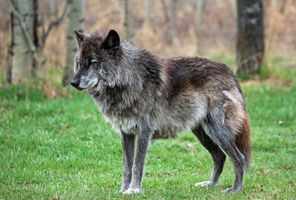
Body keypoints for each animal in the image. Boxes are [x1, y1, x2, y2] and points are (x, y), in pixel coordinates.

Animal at [70, 29, 251, 194]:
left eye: (93, 62)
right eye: (79, 63)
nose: (73, 82)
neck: (129, 79)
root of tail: (229, 71)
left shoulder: (144, 131)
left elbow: (137, 164)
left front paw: (134, 190)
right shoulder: (126, 133)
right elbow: (127, 166)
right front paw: (122, 191)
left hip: (217, 131)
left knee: (239, 158)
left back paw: (235, 190)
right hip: (202, 133)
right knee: (219, 157)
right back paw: (210, 184)